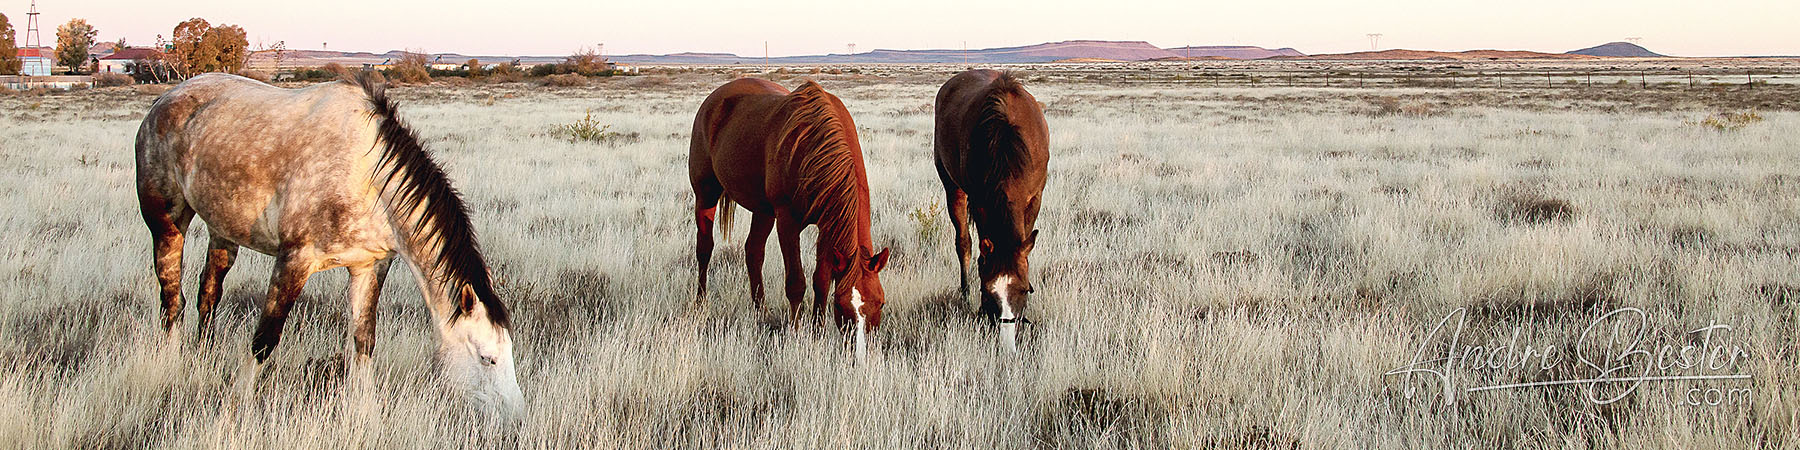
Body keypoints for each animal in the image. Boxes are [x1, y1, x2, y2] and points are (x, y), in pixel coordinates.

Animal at [134, 72, 522, 413]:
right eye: (488, 358)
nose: (515, 418)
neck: (367, 176)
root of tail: (164, 100)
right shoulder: (293, 261)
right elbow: (264, 339)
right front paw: (237, 405)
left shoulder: (369, 266)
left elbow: (363, 341)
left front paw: (365, 411)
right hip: (167, 224)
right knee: (173, 299)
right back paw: (171, 366)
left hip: (223, 232)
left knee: (208, 294)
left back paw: (204, 356)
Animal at [689, 78, 890, 359]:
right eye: (840, 306)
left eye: (880, 303)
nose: (860, 355)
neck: (815, 146)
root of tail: (714, 98)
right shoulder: (787, 221)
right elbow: (796, 282)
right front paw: (797, 334)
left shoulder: (826, 224)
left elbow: (821, 280)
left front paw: (817, 331)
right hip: (705, 194)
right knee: (704, 250)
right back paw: (701, 302)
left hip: (762, 210)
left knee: (753, 253)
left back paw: (761, 311)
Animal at [933, 70, 1050, 351]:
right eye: (987, 294)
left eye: (1024, 290)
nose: (1007, 347)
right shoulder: (980, 201)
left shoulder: (1035, 197)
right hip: (953, 187)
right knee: (963, 242)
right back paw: (964, 292)